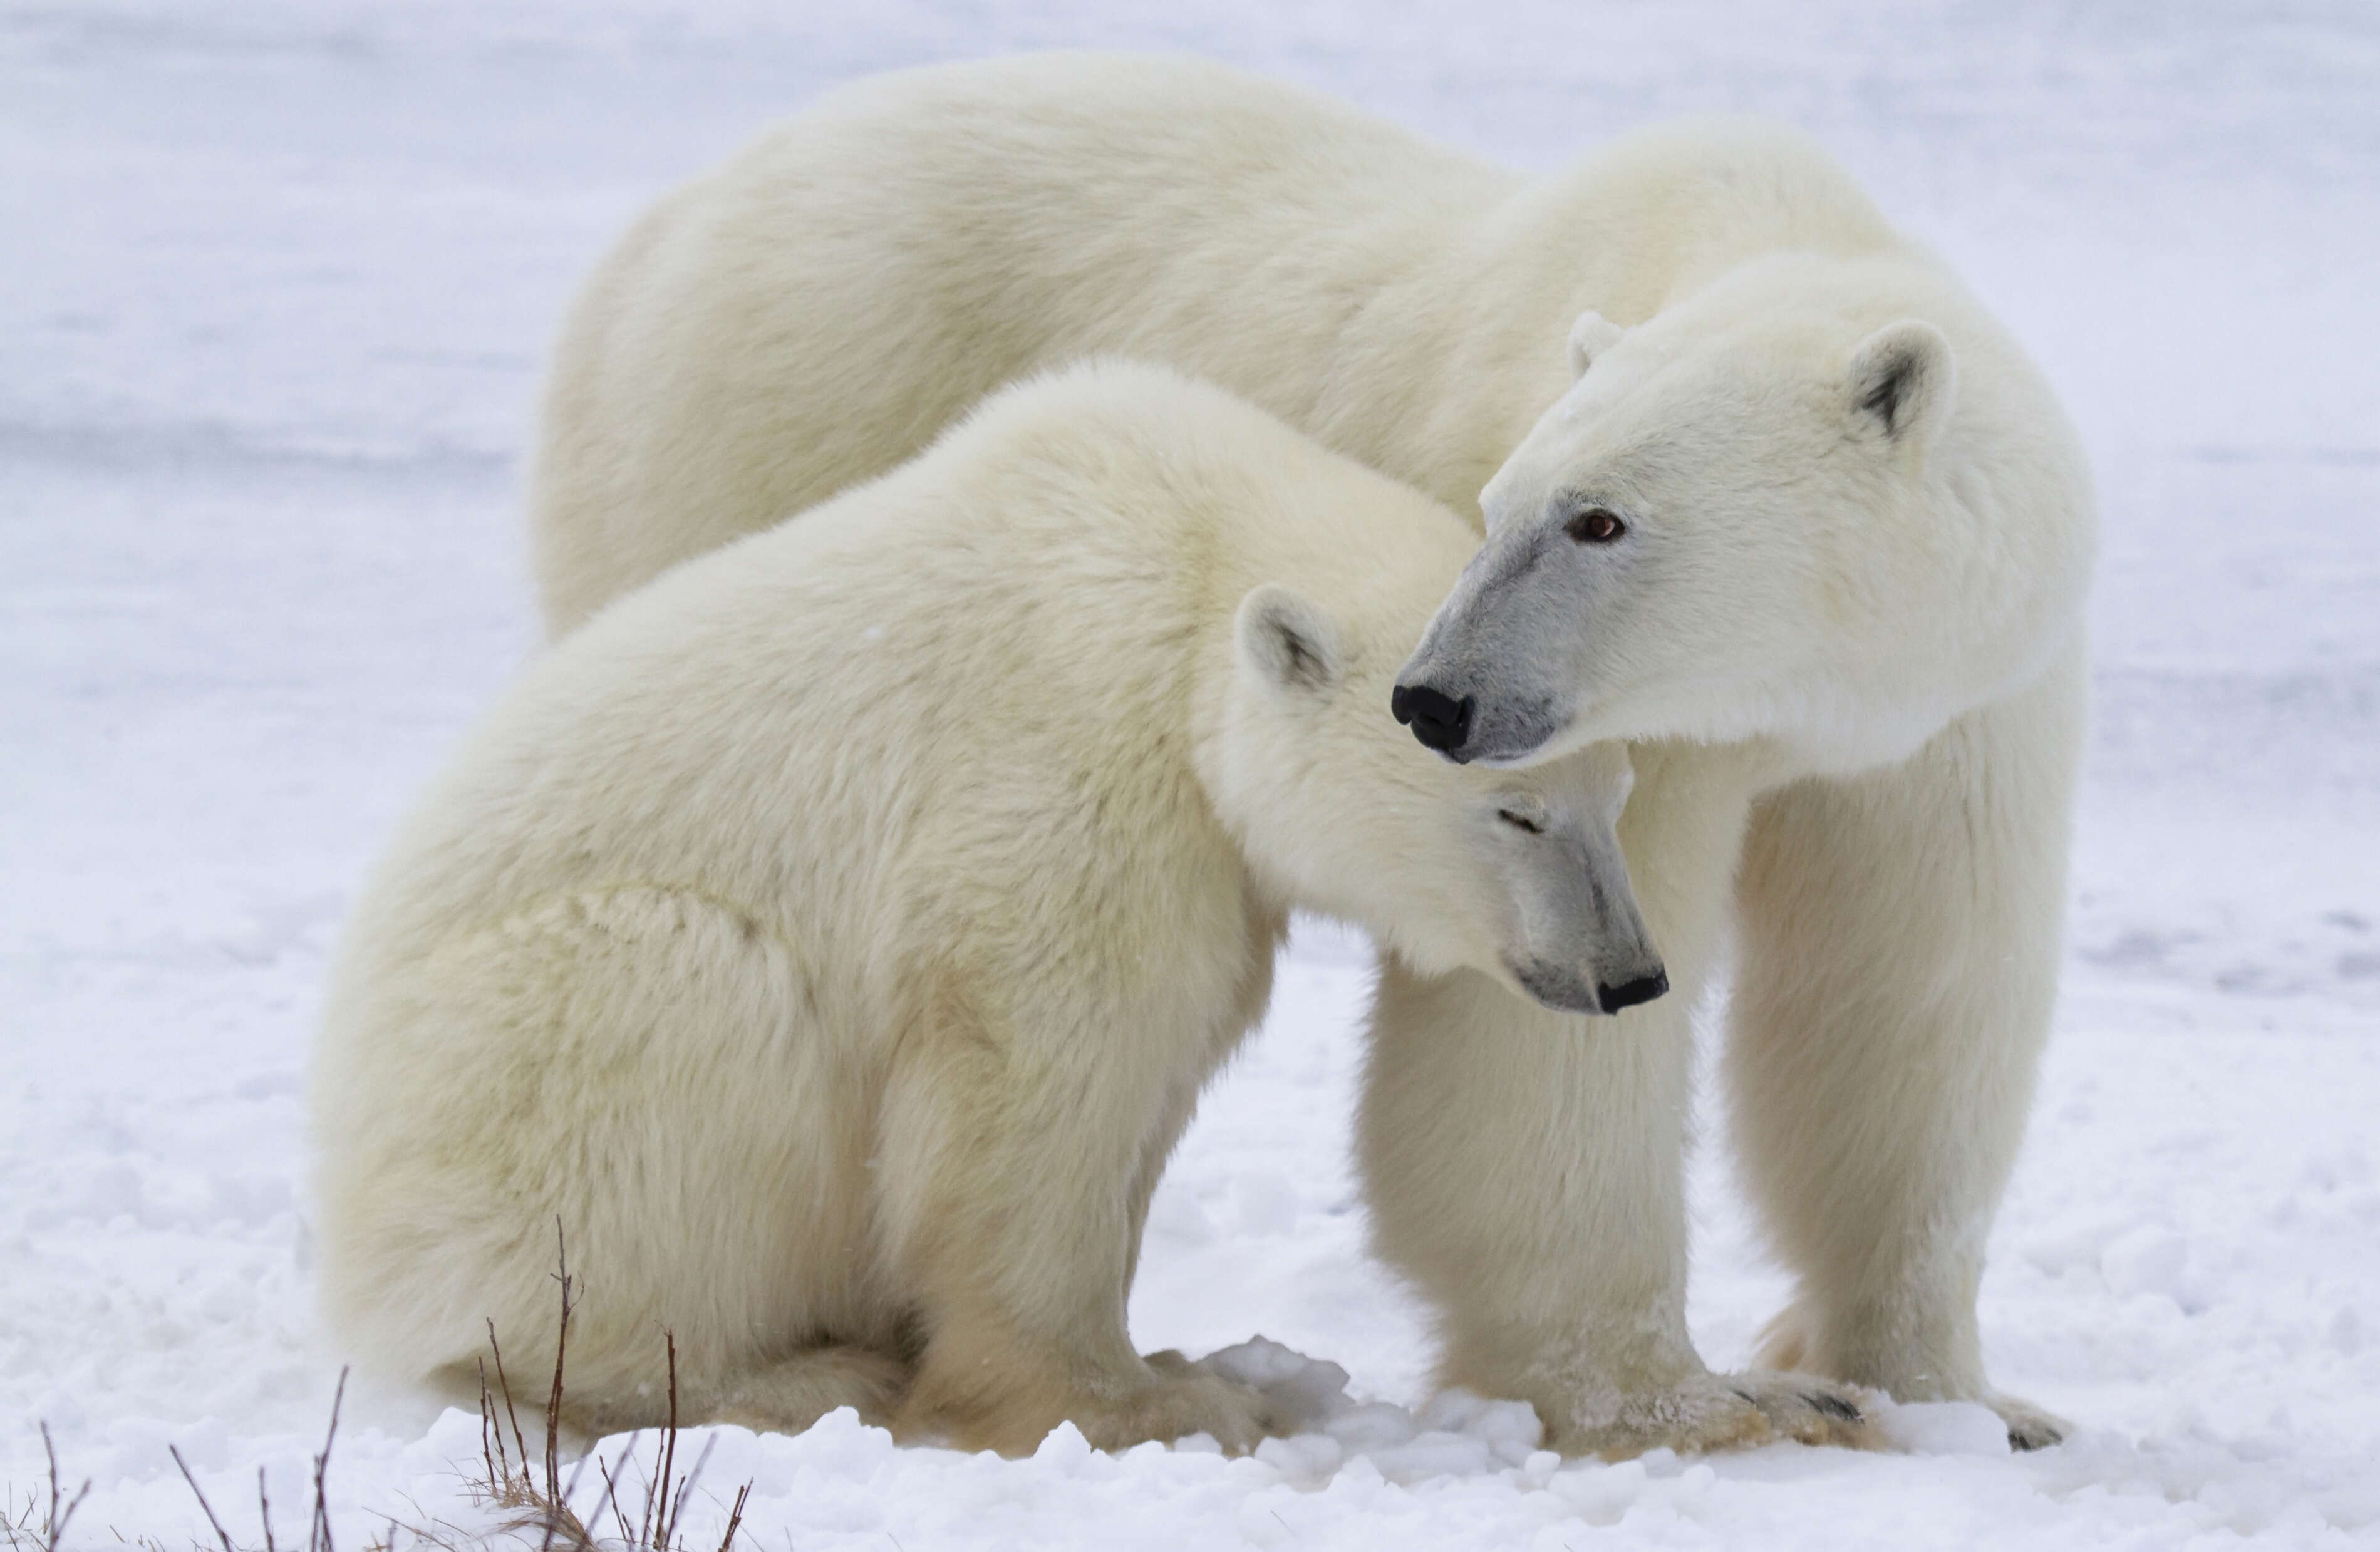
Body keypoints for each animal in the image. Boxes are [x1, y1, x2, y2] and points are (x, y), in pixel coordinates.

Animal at [311, 361, 1668, 1459]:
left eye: (1614, 793)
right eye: (1515, 812)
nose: (1630, 975)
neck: (1188, 563)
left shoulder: (1205, 864)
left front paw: (1189, 1362)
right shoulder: (1059, 772)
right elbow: (1040, 1090)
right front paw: (1150, 1401)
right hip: (515, 1070)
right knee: (696, 1008)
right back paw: (789, 1374)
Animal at [520, 54, 2094, 1454]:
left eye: (1599, 521)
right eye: (1502, 501)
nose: (1436, 702)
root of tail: (662, 224)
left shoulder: (1957, 705)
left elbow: (1910, 995)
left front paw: (1958, 1397)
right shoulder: (1626, 723)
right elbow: (1539, 1039)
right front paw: (1686, 1407)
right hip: (772, 423)